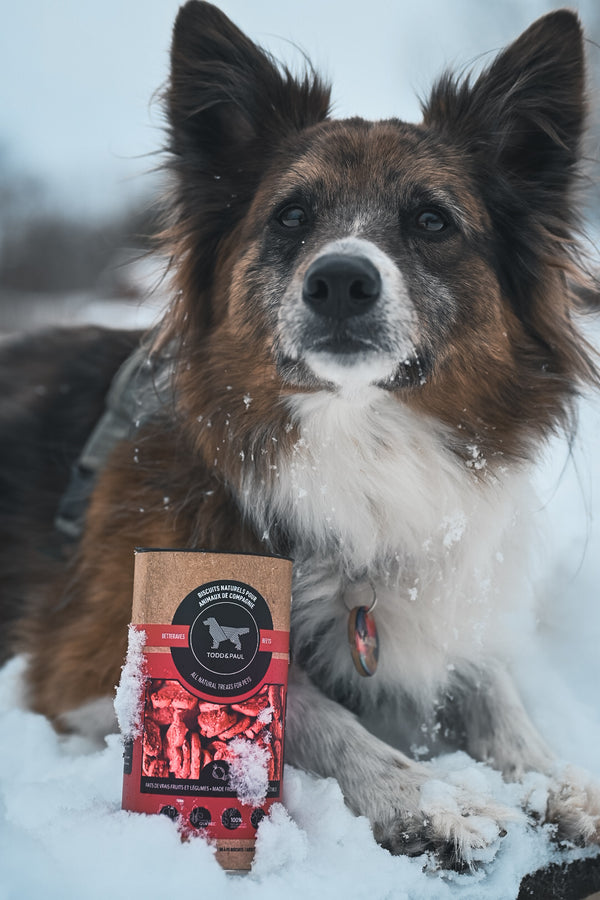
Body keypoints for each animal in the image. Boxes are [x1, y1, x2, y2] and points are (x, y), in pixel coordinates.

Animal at [1, 0, 600, 868]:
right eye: (290, 215)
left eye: (431, 220)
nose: (341, 279)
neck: (360, 445)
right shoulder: (82, 665)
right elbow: (311, 712)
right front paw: (429, 799)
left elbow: (492, 691)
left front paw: (555, 778)